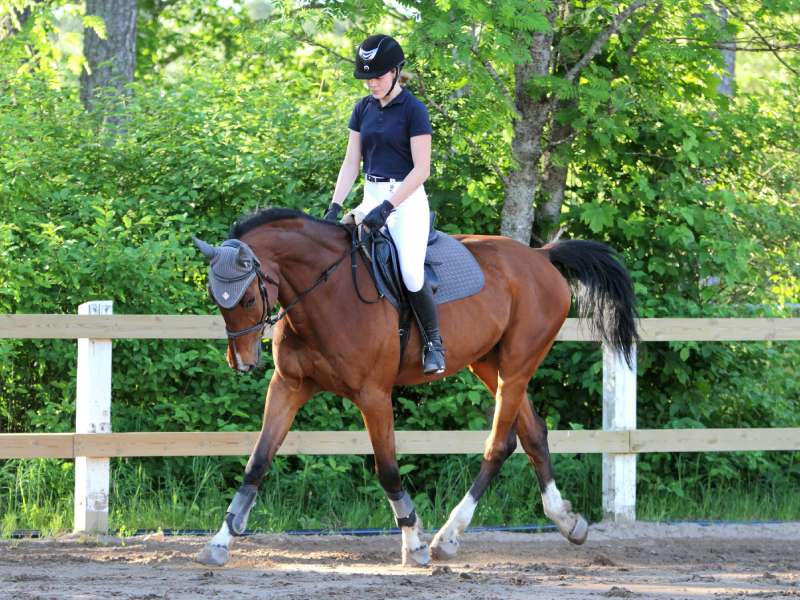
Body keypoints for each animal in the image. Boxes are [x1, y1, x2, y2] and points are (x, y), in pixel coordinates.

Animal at [191, 207, 636, 568]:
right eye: (216, 297)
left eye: (248, 298)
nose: (242, 361)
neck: (326, 292)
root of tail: (541, 257)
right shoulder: (288, 387)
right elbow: (257, 462)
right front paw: (219, 542)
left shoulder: (373, 395)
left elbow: (388, 469)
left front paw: (413, 543)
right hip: (489, 364)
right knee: (530, 434)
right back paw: (566, 521)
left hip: (517, 364)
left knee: (498, 444)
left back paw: (447, 537)